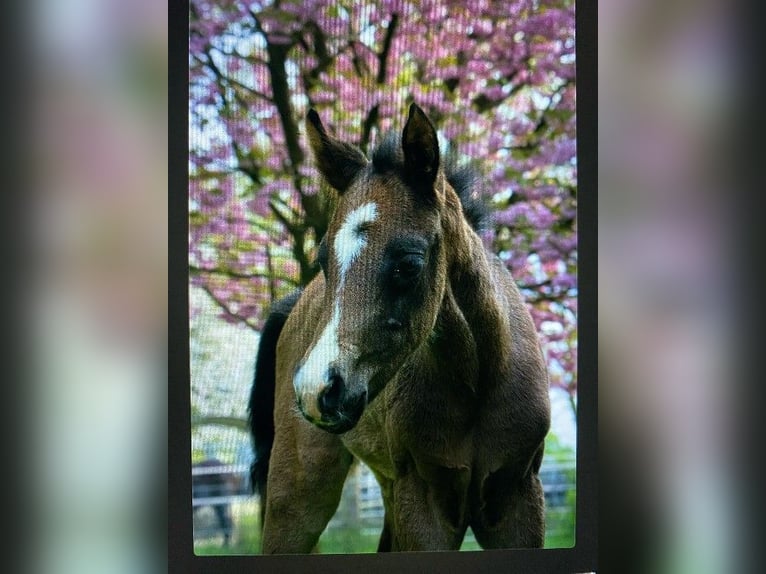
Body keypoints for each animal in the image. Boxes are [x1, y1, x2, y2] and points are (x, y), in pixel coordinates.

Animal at [250, 103, 552, 552]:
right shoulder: (422, 501)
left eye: (408, 263)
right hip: (299, 487)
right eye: (323, 260)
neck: (479, 380)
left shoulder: (519, 498)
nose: (317, 389)